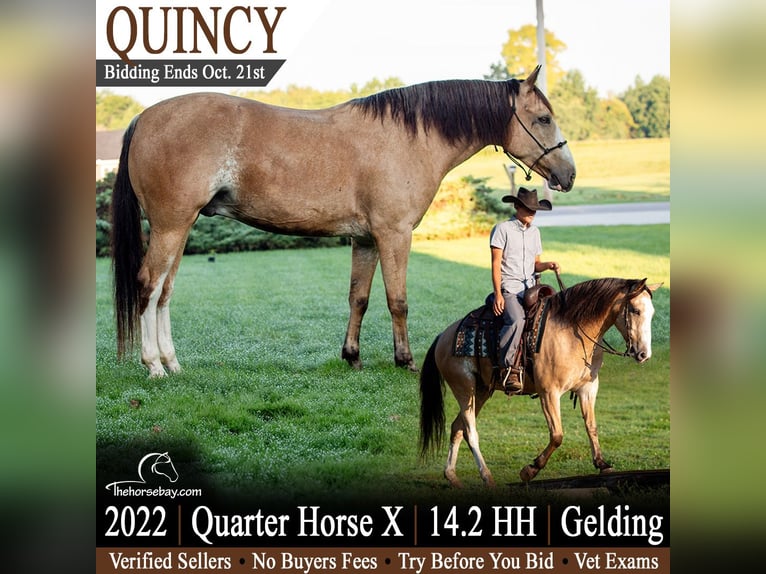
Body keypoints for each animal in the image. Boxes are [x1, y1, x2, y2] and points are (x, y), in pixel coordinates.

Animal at [111, 66, 576, 377]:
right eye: (542, 118)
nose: (569, 174)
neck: (408, 138)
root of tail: (142, 118)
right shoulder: (393, 235)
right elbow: (397, 300)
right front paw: (405, 360)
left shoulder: (365, 239)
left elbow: (359, 298)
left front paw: (351, 356)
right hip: (171, 226)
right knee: (149, 287)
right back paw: (153, 365)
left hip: (179, 228)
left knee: (165, 291)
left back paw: (172, 363)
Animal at [419, 277, 662, 488]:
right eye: (635, 310)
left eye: (651, 313)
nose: (644, 354)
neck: (573, 331)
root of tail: (443, 336)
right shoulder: (549, 392)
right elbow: (557, 435)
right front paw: (530, 470)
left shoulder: (588, 388)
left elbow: (591, 426)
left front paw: (602, 465)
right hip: (465, 388)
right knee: (470, 432)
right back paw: (487, 477)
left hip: (481, 391)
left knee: (457, 428)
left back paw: (452, 476)